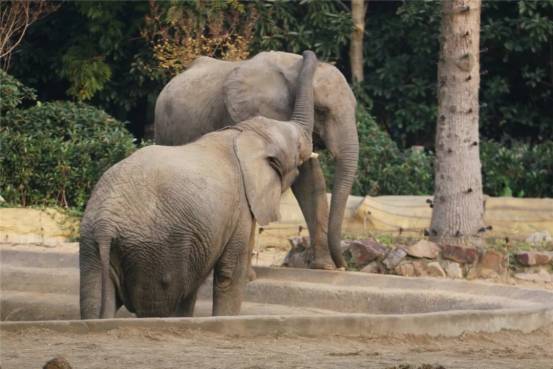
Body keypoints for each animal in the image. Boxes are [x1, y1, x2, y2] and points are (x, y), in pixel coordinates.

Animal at [79, 50, 316, 318]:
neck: (243, 133)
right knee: (162, 299)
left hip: (92, 247)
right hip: (154, 250)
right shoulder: (240, 209)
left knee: (95, 300)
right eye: (298, 147)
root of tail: (105, 225)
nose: (305, 53)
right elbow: (230, 273)